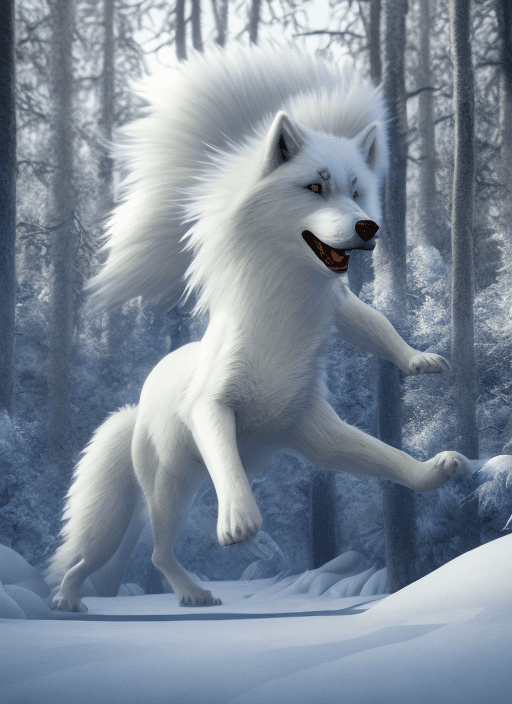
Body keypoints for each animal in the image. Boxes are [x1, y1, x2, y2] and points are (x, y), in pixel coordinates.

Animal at [47, 44, 470, 611]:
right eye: (315, 187)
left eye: (357, 192)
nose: (368, 227)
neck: (287, 313)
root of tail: (136, 405)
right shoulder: (212, 406)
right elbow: (228, 461)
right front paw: (239, 521)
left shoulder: (320, 431)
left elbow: (386, 430)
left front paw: (424, 390)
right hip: (165, 491)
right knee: (130, 554)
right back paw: (80, 600)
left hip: (190, 486)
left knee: (157, 550)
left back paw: (208, 581)